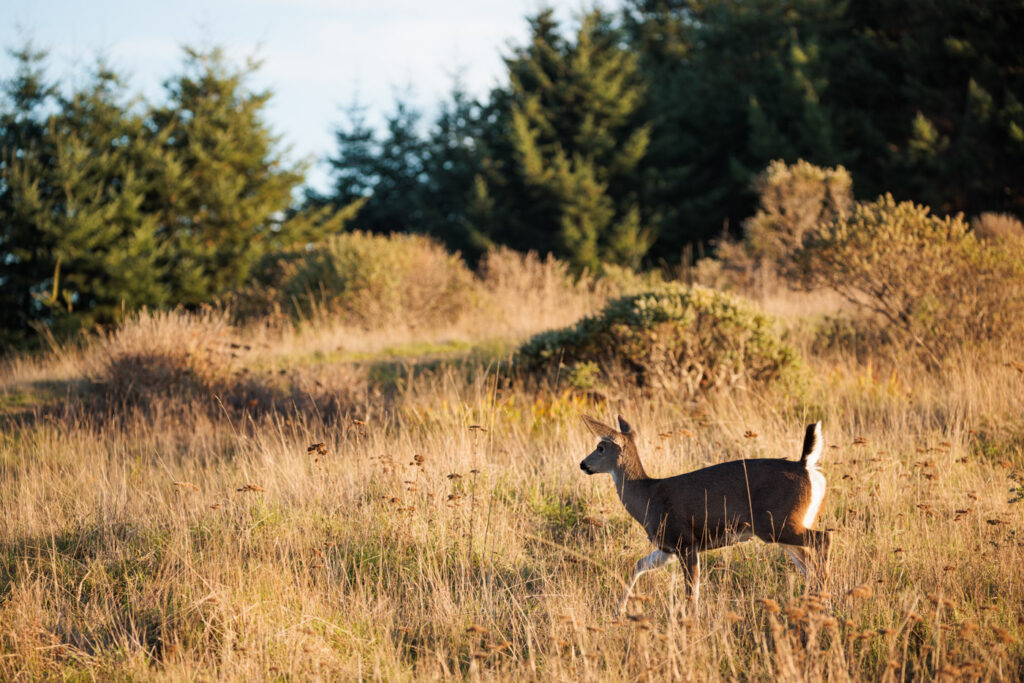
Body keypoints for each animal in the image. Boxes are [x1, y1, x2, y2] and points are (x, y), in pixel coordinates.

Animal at [579, 415, 830, 614]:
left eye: (600, 447)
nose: (583, 464)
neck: (647, 497)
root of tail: (805, 465)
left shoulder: (684, 541)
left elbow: (692, 590)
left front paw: (691, 621)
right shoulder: (668, 547)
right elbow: (638, 565)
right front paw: (617, 611)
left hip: (777, 523)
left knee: (823, 539)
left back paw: (824, 599)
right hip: (784, 526)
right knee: (808, 564)